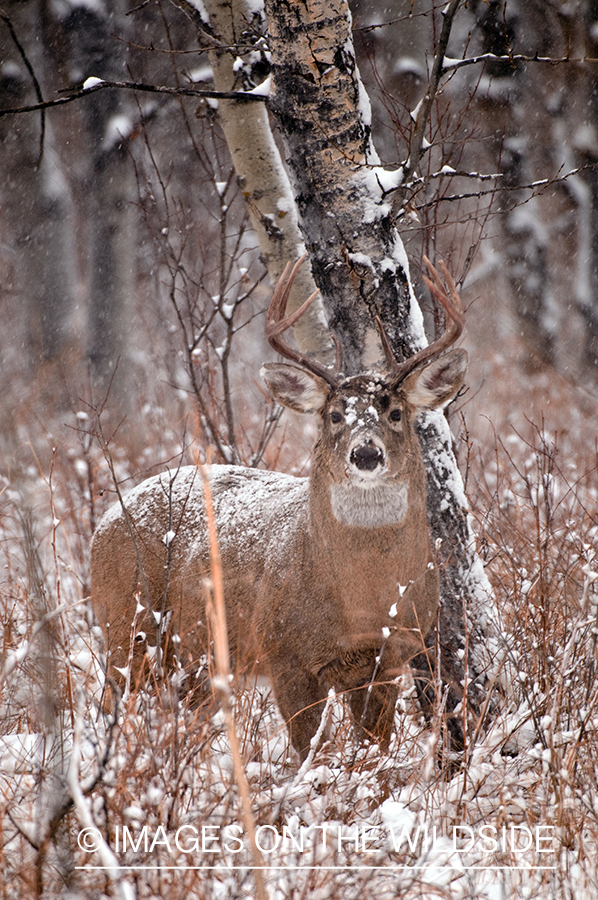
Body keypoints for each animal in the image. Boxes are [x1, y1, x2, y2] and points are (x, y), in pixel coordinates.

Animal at [92, 253, 468, 760]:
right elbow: (306, 749)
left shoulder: (390, 659)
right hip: (124, 626)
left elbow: (374, 746)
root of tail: (105, 519)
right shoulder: (285, 656)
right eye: (334, 415)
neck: (362, 603)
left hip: (195, 657)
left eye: (395, 412)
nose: (366, 454)